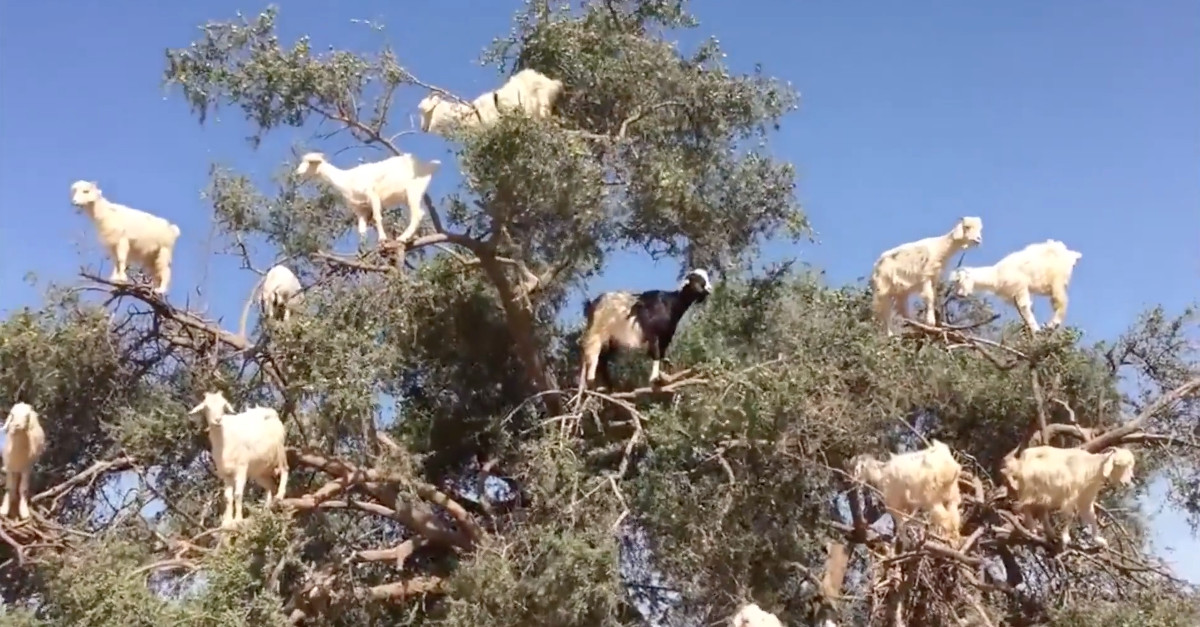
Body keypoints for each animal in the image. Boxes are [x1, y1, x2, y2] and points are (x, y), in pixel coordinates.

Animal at [188, 389, 289, 526]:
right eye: (207, 407)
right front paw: (227, 522)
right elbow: (228, 497)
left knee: (284, 469)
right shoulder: (226, 473)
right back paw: (267, 507)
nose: (218, 420)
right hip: (260, 471)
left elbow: (238, 494)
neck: (224, 439)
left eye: (223, 407)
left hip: (280, 450)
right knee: (271, 486)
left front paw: (238, 520)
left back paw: (280, 495)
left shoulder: (241, 467)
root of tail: (270, 412)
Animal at [292, 151, 444, 246]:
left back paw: (402, 238)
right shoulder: (360, 209)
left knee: (418, 214)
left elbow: (377, 217)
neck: (347, 179)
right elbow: (361, 229)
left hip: (414, 191)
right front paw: (362, 250)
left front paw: (382, 239)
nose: (297, 173)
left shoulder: (372, 195)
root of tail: (429, 166)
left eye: (309, 162)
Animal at [580, 267, 710, 389]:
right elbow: (655, 354)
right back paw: (594, 383)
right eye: (698, 280)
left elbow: (661, 355)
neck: (670, 304)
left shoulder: (665, 337)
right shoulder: (652, 333)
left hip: (611, 339)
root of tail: (593, 304)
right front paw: (654, 378)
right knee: (593, 354)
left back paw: (608, 387)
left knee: (603, 360)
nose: (709, 289)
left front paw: (665, 376)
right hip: (597, 333)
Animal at [950, 236, 1084, 331]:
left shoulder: (1020, 287)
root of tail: (1072, 255)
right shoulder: (1012, 296)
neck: (996, 276)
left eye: (959, 281)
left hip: (1058, 280)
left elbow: (1025, 307)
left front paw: (1035, 330)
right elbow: (1025, 310)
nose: (959, 294)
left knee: (1061, 302)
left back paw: (1052, 324)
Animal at [1003, 442, 1132, 542]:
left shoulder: (1086, 496)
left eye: (1130, 466)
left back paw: (1050, 532)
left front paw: (1099, 540)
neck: (1091, 468)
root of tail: (1021, 460)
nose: (1126, 483)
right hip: (1030, 488)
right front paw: (1066, 538)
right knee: (1024, 506)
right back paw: (1033, 528)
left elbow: (1091, 515)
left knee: (1040, 512)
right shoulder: (1070, 494)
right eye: (1117, 465)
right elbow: (1070, 515)